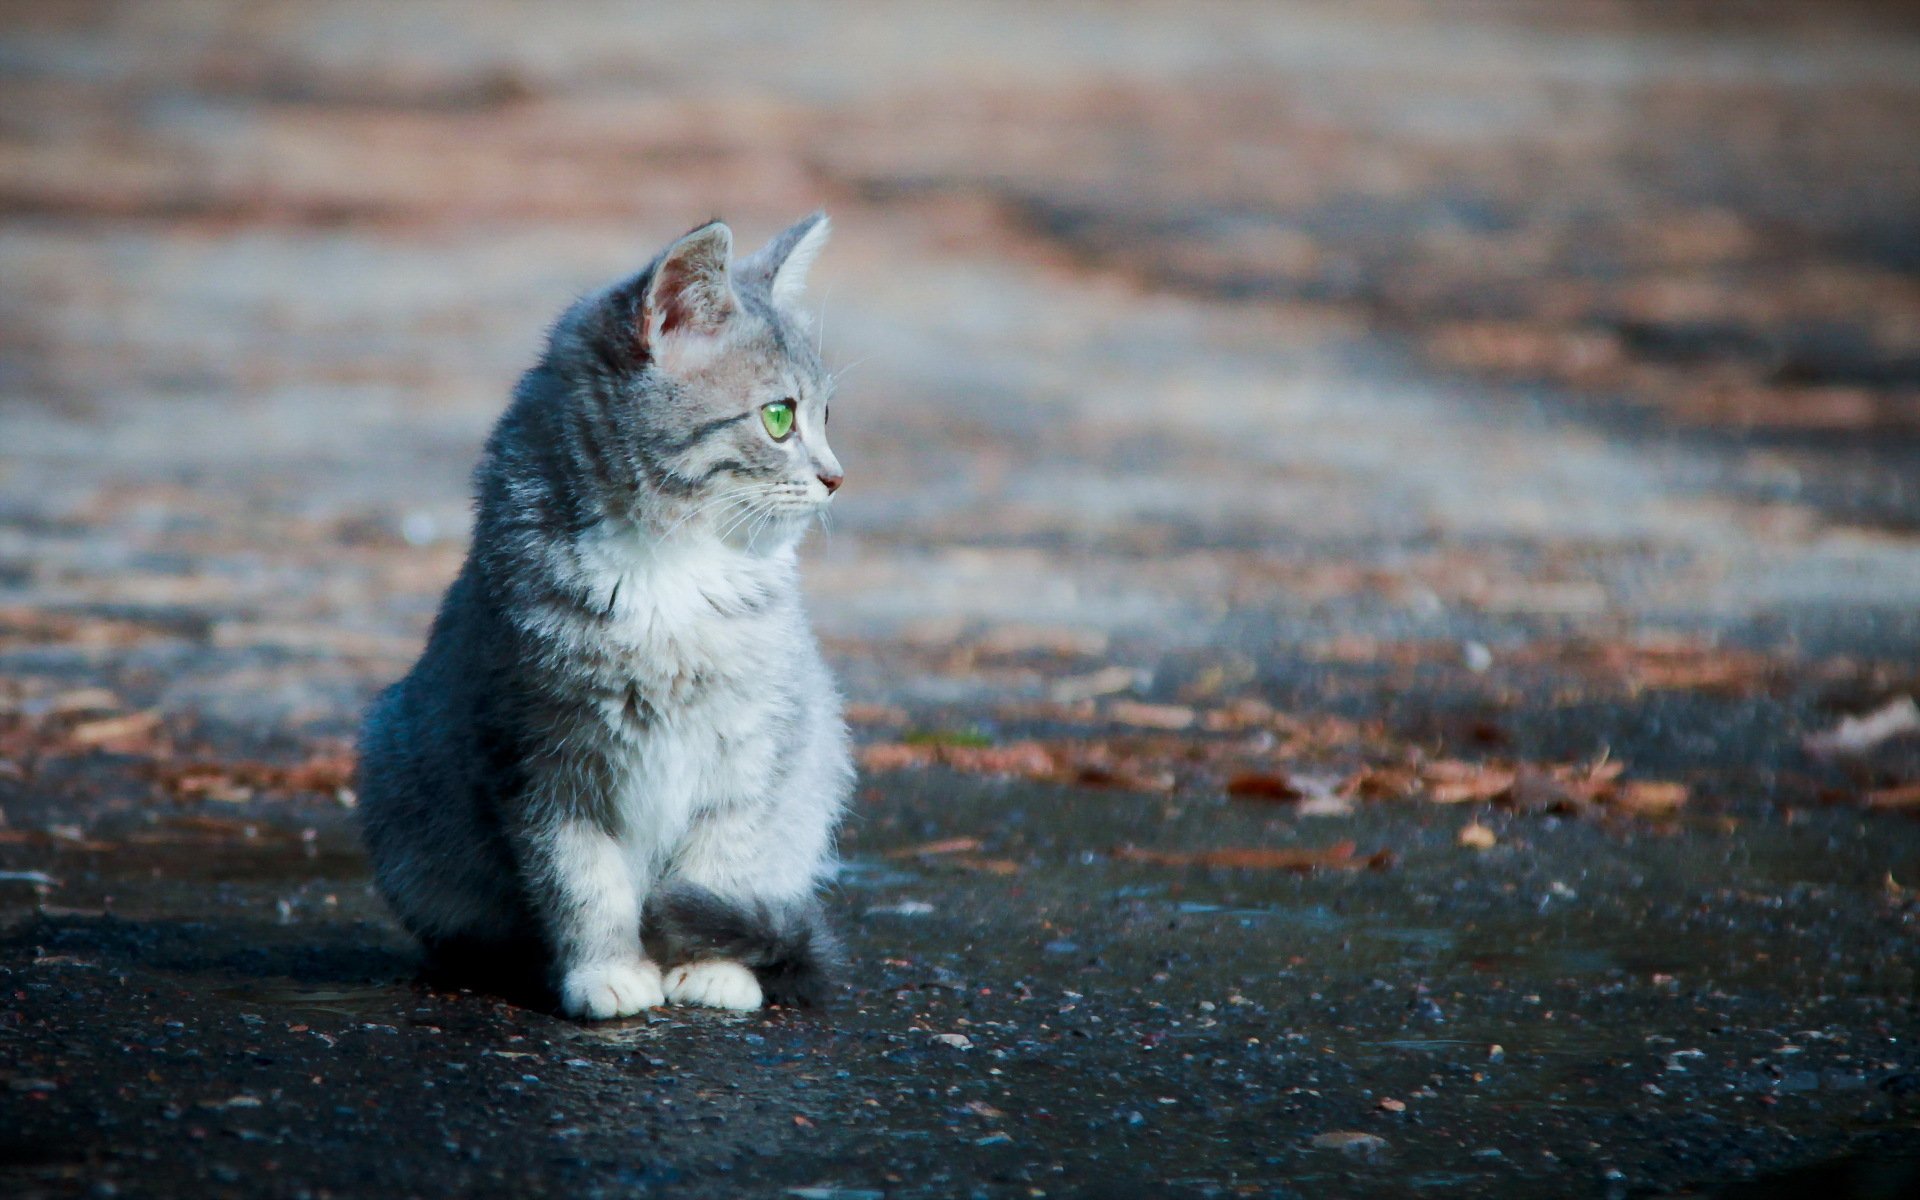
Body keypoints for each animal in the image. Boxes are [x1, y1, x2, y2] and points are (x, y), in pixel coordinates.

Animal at [357, 213, 852, 1013]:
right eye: (780, 417)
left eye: (827, 414)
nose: (836, 477)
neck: (672, 570)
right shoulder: (538, 760)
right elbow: (581, 882)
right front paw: (606, 970)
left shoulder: (757, 747)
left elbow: (723, 864)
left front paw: (712, 967)